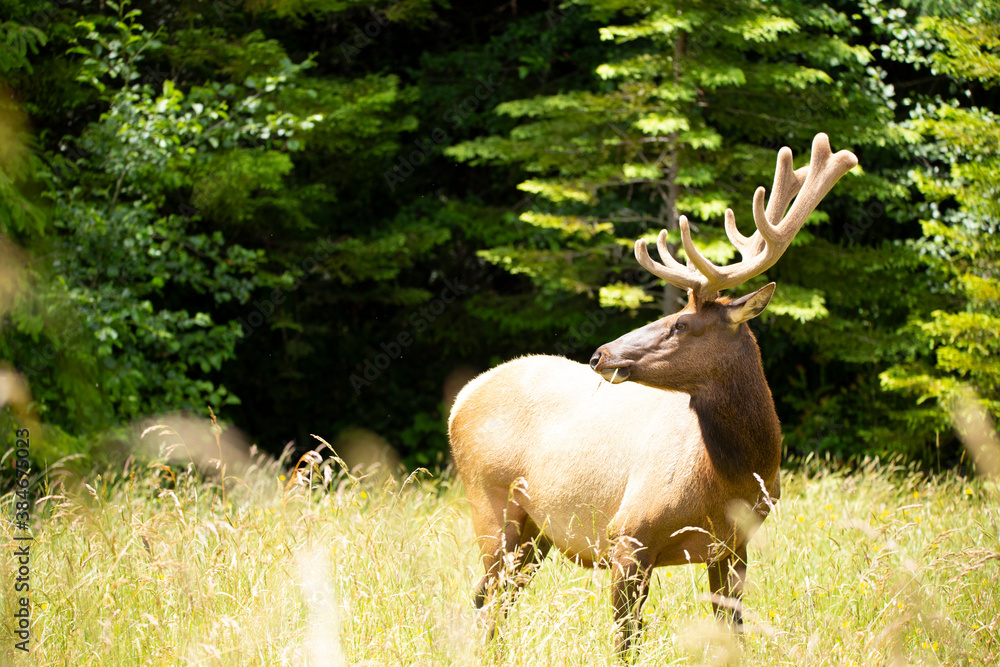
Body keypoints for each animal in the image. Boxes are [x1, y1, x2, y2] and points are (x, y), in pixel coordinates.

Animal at [448, 133, 858, 657]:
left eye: (680, 324)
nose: (600, 354)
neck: (728, 478)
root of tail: (461, 398)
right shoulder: (627, 536)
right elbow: (626, 641)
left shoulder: (733, 547)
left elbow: (732, 633)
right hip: (490, 504)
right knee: (488, 595)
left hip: (535, 532)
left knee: (498, 597)